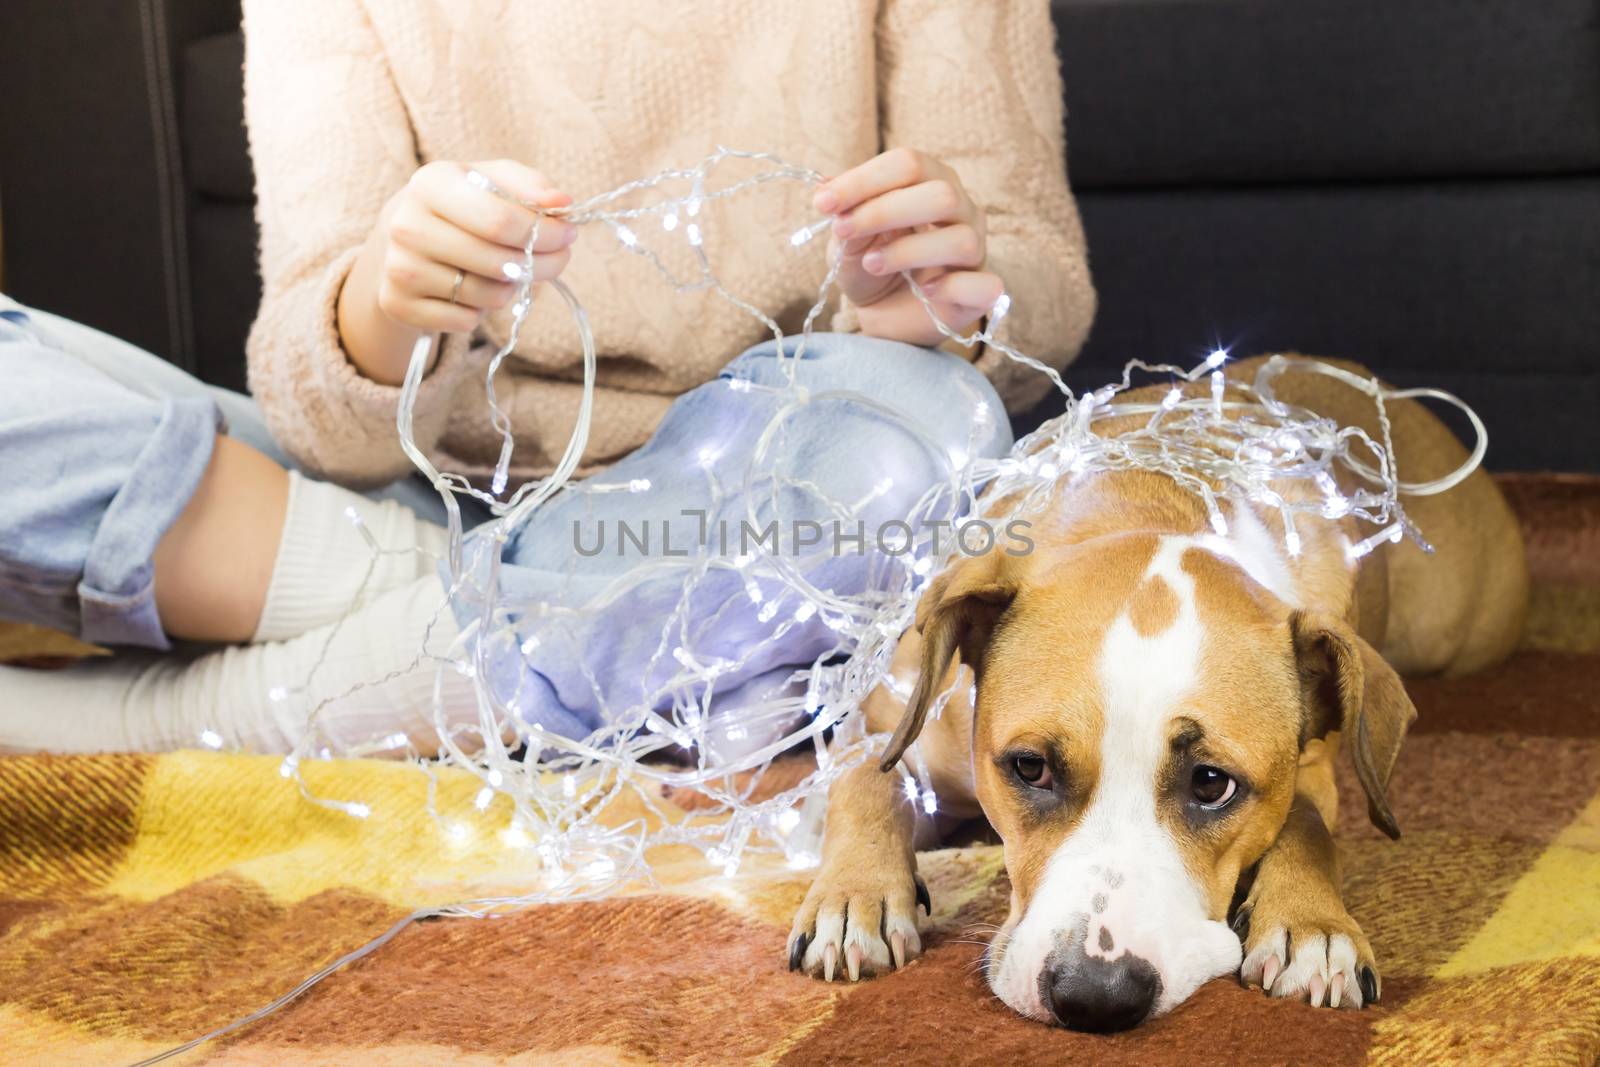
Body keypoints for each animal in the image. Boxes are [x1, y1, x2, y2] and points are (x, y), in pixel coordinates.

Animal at [793, 358, 1529, 1036]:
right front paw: (852, 896)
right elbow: (867, 776)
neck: (1148, 506)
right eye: (1029, 767)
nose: (1095, 996)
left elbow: (1304, 823)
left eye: (1212, 783)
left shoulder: (1312, 771)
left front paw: (1313, 925)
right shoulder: (893, 714)